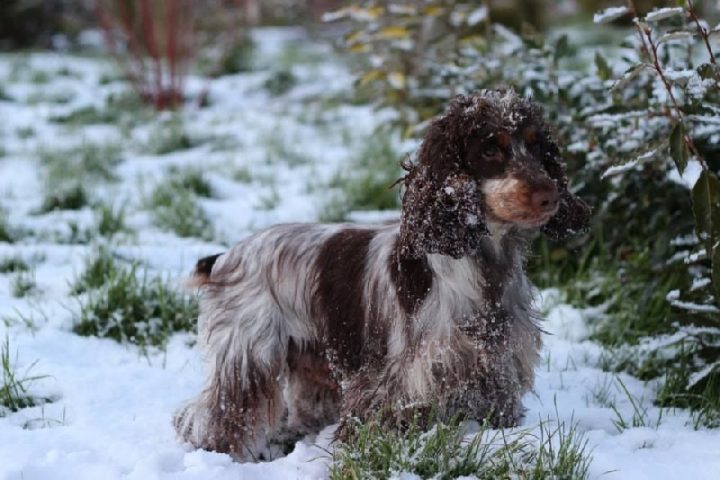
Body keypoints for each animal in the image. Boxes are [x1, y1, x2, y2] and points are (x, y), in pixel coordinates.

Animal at [174, 89, 592, 462]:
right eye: (490, 149)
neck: (485, 265)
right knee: (211, 413)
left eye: (538, 148)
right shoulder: (399, 382)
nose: (550, 196)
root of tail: (226, 256)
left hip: (310, 356)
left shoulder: (496, 372)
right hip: (248, 353)